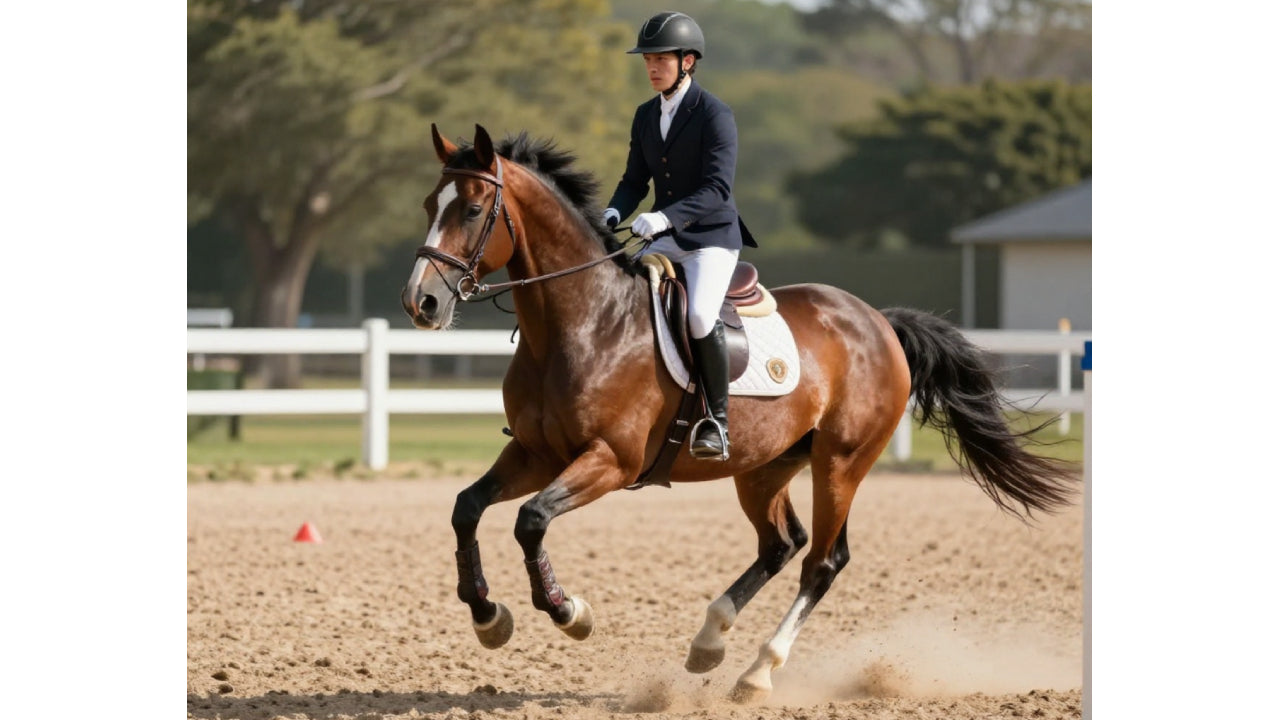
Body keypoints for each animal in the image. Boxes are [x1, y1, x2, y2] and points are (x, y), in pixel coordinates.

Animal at [400, 124, 1077, 703]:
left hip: (841, 463)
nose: (421, 303)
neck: (582, 321)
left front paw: (570, 614)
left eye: (471, 210)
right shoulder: (536, 453)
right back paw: (708, 643)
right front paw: (488, 617)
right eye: (430, 204)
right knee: (782, 543)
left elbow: (531, 521)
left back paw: (757, 673)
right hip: (763, 466)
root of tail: (878, 321)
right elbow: (467, 508)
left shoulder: (609, 462)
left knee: (821, 561)